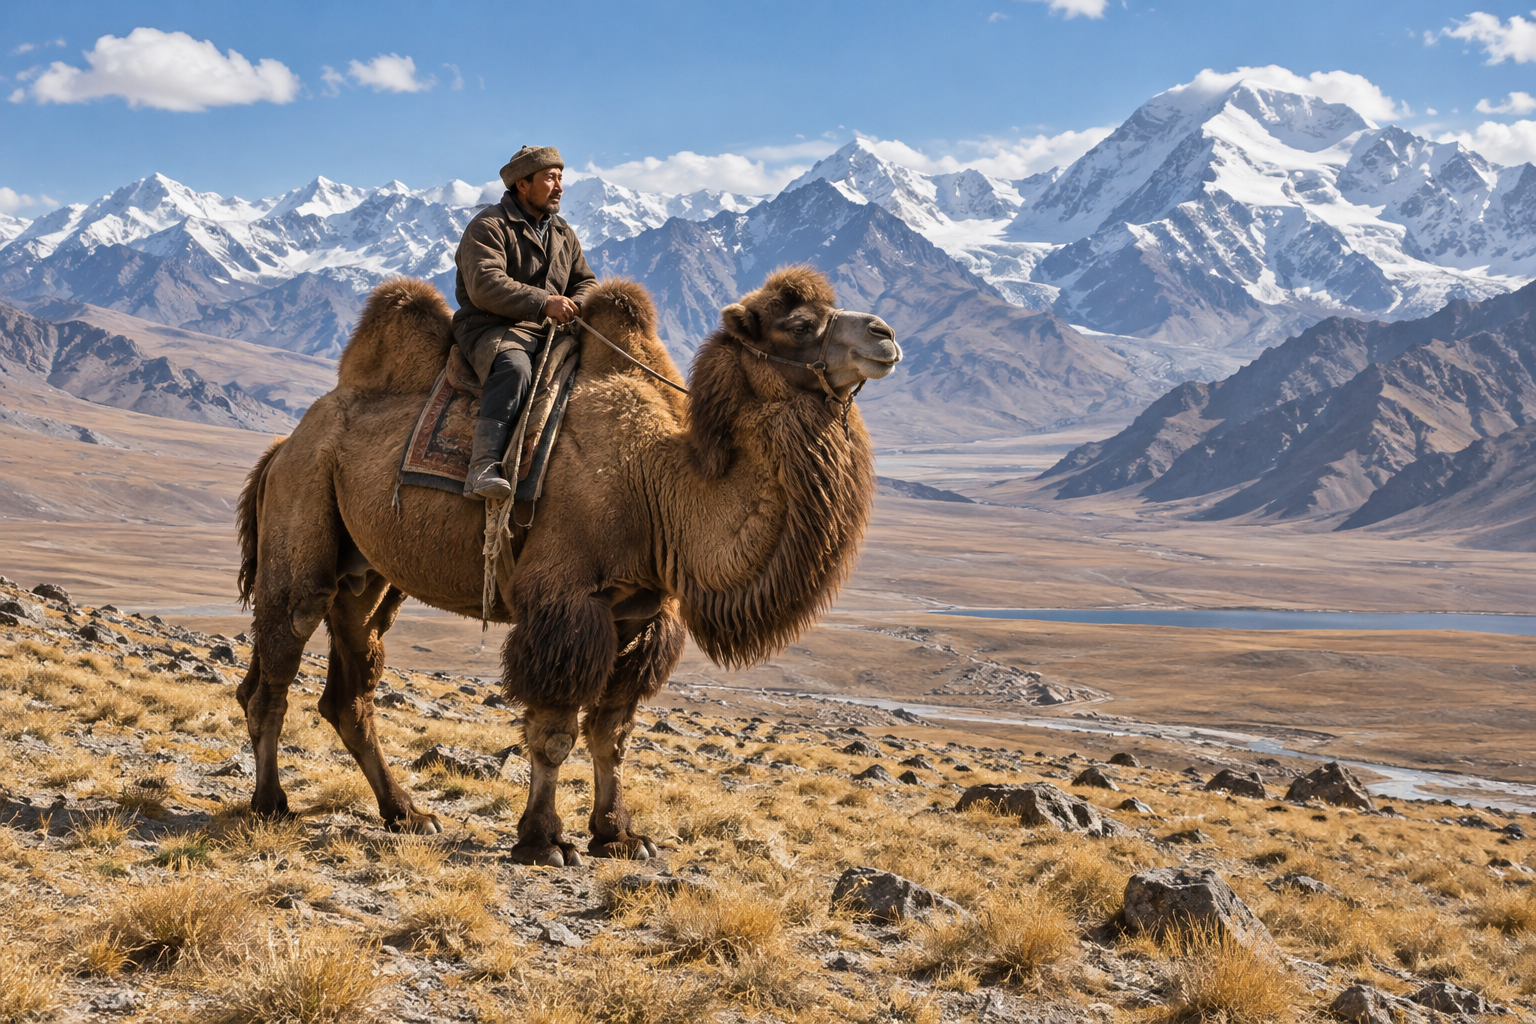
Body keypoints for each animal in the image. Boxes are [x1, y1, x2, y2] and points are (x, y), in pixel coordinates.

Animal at [235, 266, 900, 865]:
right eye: (799, 324)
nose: (885, 335)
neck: (660, 485)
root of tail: (284, 445)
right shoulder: (565, 603)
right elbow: (555, 733)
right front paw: (544, 841)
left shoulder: (642, 616)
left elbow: (613, 736)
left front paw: (619, 836)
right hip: (304, 514)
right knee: (280, 660)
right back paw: (271, 805)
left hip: (370, 576)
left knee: (351, 689)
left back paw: (407, 813)